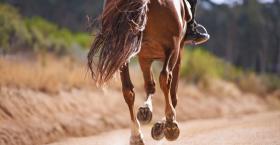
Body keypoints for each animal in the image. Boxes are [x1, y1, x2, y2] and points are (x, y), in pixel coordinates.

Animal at [88, 0, 192, 144]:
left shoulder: (142, 55)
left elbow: (148, 86)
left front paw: (148, 113)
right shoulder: (175, 50)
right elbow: (170, 91)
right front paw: (165, 125)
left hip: (128, 51)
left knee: (131, 90)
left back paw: (140, 130)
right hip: (173, 48)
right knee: (165, 81)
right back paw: (169, 125)